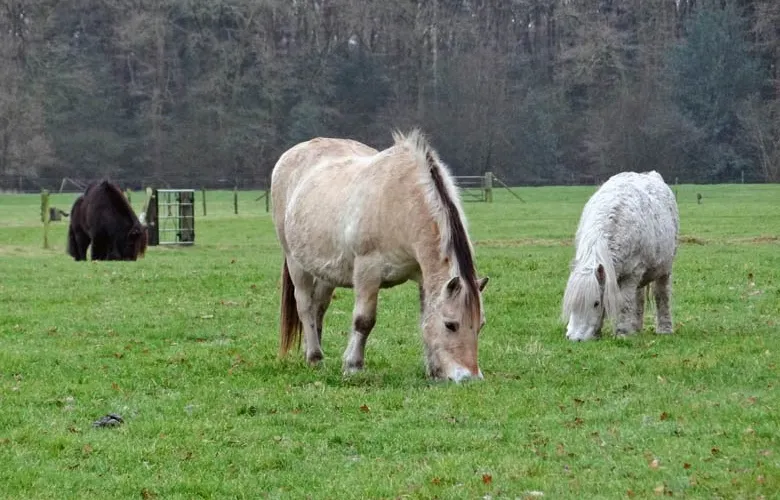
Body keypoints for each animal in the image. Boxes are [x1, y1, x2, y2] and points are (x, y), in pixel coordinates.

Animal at [271, 129, 490, 382]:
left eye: (481, 325)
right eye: (451, 325)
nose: (470, 377)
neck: (402, 202)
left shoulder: (423, 276)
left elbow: (425, 317)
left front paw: (434, 370)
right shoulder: (367, 272)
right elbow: (364, 320)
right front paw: (353, 366)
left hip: (327, 271)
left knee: (318, 307)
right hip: (295, 262)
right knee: (305, 305)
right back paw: (315, 357)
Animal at [561, 171, 679, 342]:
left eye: (596, 303)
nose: (575, 338)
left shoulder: (632, 274)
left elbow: (624, 303)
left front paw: (622, 332)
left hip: (664, 269)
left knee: (661, 294)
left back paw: (664, 329)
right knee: (639, 297)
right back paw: (636, 328)